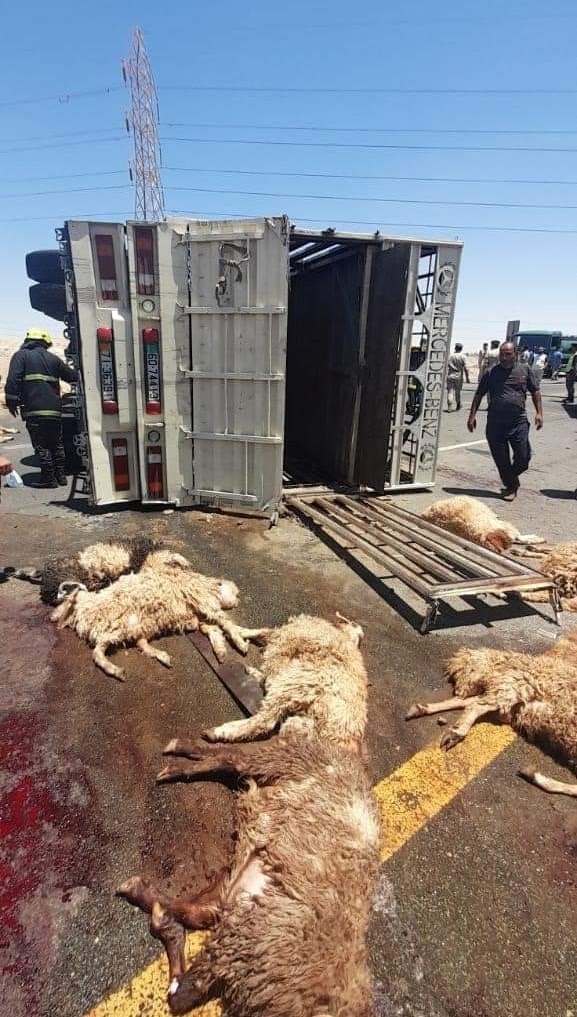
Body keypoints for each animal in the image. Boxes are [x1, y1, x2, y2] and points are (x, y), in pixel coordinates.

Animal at [50, 550, 268, 680]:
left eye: (65, 595)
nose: (51, 617)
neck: (89, 608)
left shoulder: (118, 629)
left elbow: (97, 653)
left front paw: (116, 670)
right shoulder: (132, 629)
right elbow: (140, 646)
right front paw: (162, 657)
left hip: (201, 600)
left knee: (226, 623)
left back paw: (241, 643)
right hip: (200, 611)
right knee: (215, 627)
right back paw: (223, 652)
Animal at [118, 729, 381, 1017]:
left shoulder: (240, 935)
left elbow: (181, 988)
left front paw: (157, 912)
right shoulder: (239, 946)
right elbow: (181, 995)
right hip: (286, 760)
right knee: (234, 757)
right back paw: (179, 760)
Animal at [202, 612, 367, 748]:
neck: (345, 635)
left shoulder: (283, 634)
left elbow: (261, 631)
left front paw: (237, 632)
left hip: (296, 683)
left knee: (265, 720)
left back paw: (218, 732)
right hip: (301, 722)